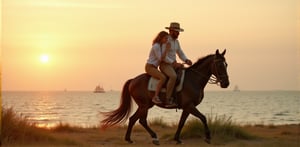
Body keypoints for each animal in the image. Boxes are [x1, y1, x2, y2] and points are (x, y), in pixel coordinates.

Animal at [101, 49, 230, 145]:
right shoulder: (190, 106)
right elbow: (203, 117)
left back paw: (129, 139)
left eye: (226, 64)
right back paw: (153, 137)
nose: (226, 83)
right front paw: (208, 137)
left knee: (134, 119)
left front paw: (177, 139)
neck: (194, 79)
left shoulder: (187, 107)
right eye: (219, 64)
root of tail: (133, 80)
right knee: (140, 120)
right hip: (144, 105)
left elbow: (182, 122)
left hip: (145, 105)